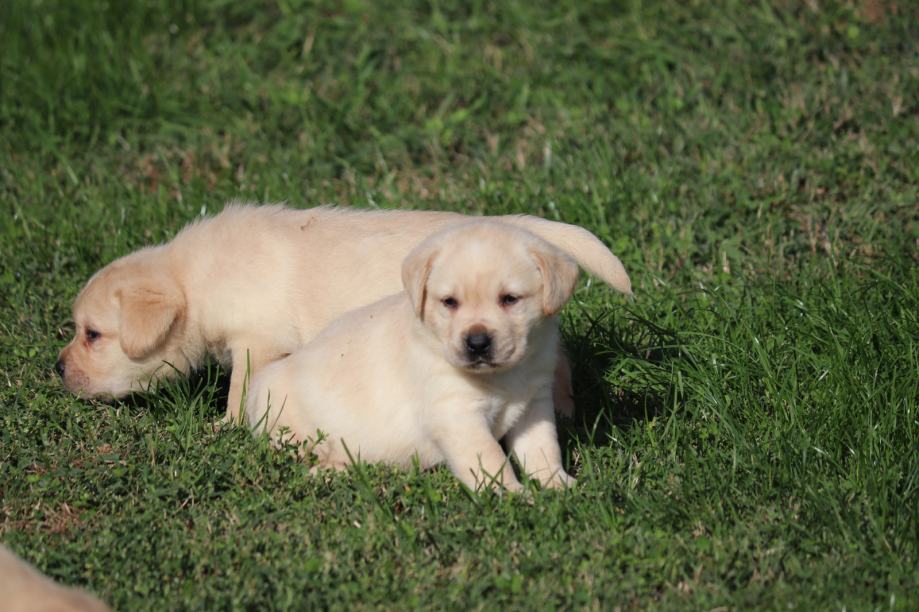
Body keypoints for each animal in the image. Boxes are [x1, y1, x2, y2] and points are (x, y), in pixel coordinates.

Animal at [59, 204, 632, 420]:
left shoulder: (255, 342)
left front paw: (226, 426)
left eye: (92, 334)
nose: (57, 368)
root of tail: (522, 230)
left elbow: (241, 387)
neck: (192, 279)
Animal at [244, 222, 632, 490]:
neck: (501, 377)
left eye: (510, 299)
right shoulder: (456, 415)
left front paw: (558, 484)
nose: (477, 342)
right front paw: (513, 495)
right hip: (290, 425)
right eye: (449, 302)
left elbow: (542, 449)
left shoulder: (534, 405)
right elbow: (490, 458)